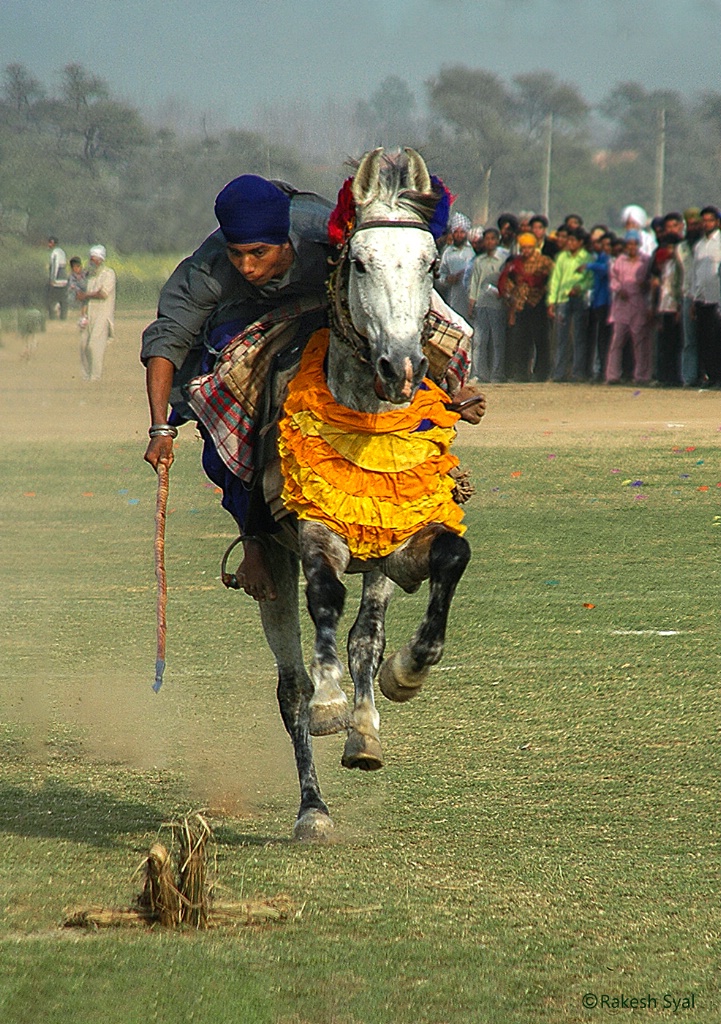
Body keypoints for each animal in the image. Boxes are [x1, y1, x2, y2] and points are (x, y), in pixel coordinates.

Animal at [256, 151, 471, 839]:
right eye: (358, 261)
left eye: (431, 264)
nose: (400, 367)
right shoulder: (312, 529)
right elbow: (325, 595)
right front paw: (331, 705)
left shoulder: (400, 539)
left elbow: (450, 557)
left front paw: (408, 673)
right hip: (268, 561)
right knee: (290, 683)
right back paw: (313, 807)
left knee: (364, 640)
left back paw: (365, 733)